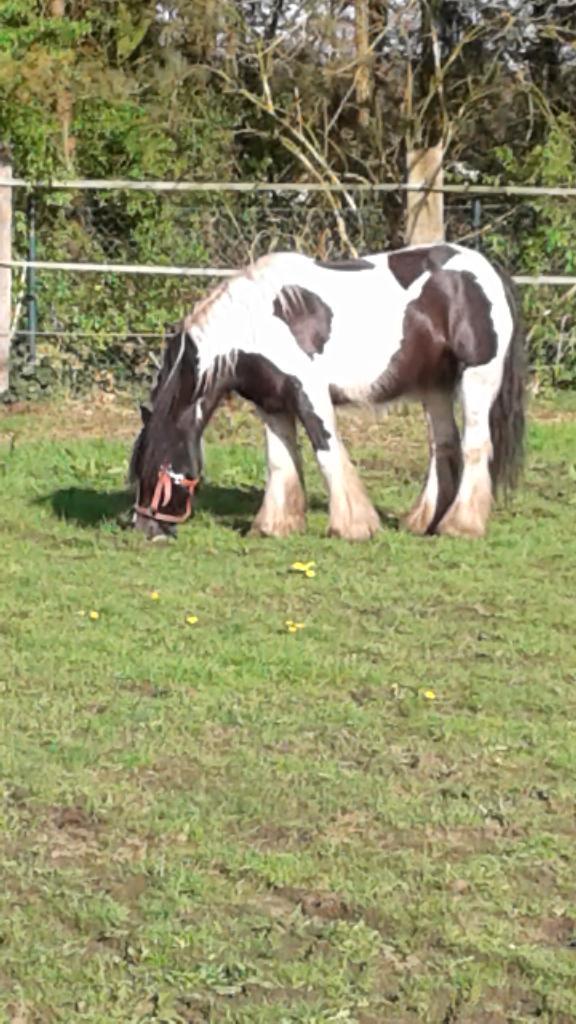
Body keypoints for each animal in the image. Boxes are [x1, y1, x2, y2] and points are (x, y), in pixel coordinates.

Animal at [129, 243, 525, 542]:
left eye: (161, 466)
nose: (146, 529)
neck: (255, 325)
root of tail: (488, 271)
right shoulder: (271, 404)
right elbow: (280, 462)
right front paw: (275, 525)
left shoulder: (310, 394)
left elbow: (327, 451)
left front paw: (353, 526)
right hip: (435, 386)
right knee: (442, 447)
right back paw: (423, 522)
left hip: (477, 377)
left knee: (475, 446)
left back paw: (460, 526)